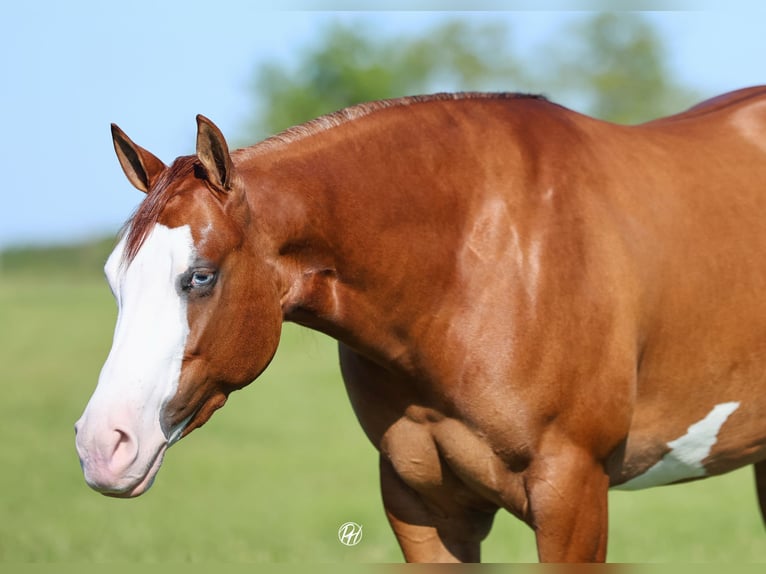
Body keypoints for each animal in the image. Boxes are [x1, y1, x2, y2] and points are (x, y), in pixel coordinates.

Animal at [75, 87, 766, 562]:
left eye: (200, 276)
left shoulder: (573, 494)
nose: (103, 445)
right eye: (114, 278)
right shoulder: (423, 504)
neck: (475, 264)